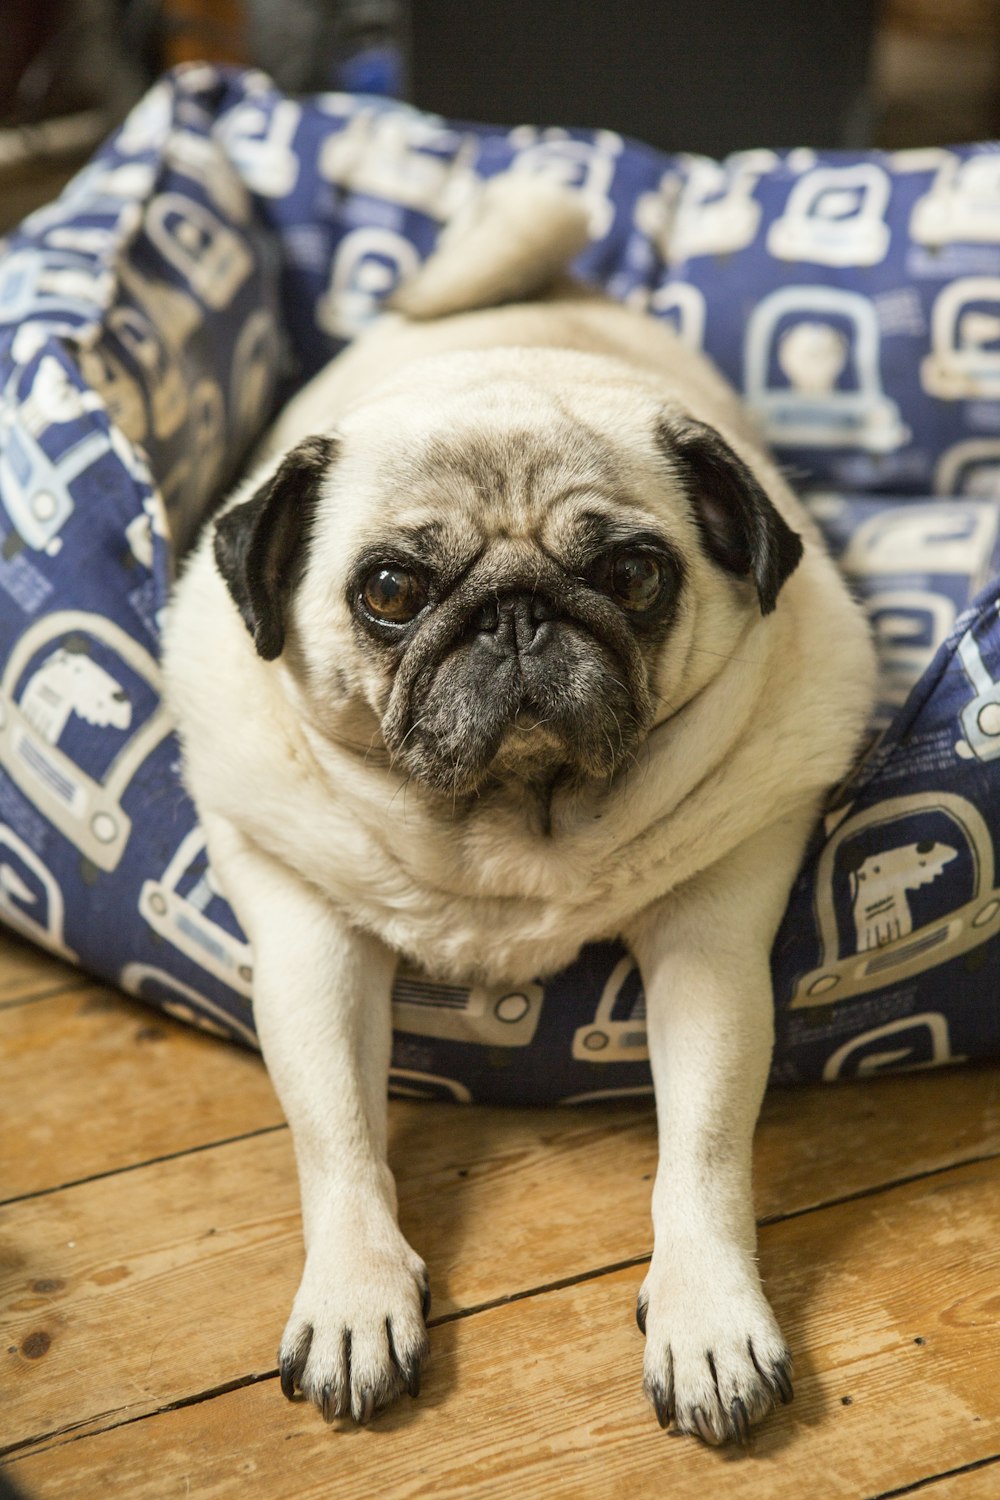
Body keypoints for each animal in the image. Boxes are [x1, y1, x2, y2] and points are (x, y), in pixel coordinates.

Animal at [162, 172, 875, 1440]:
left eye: (633, 577)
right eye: (390, 590)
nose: (517, 613)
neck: (513, 827)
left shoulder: (709, 951)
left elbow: (702, 1146)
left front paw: (706, 1316)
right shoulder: (306, 941)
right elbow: (334, 1132)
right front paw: (355, 1295)